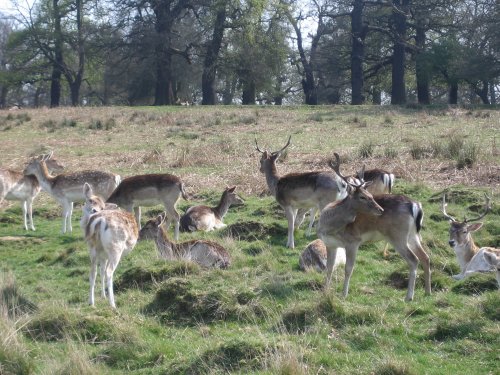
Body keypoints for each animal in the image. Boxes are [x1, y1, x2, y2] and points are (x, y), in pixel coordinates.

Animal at [318, 154, 432, 304]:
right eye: (363, 196)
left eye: (371, 195)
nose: (380, 209)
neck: (329, 226)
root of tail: (415, 206)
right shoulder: (330, 244)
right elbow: (329, 268)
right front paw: (325, 291)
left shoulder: (353, 241)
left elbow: (348, 268)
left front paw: (344, 294)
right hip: (413, 235)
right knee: (425, 257)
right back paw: (427, 292)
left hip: (397, 235)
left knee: (413, 260)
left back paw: (409, 296)